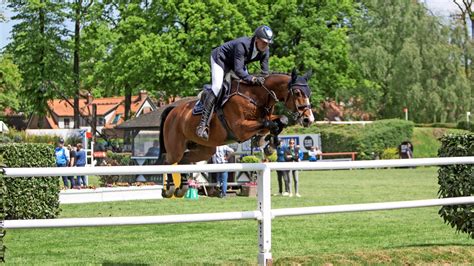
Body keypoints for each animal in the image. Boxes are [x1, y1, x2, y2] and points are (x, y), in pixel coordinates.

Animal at [158, 68, 314, 197]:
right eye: (297, 93)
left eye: (309, 93)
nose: (309, 119)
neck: (255, 96)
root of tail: (172, 110)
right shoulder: (241, 129)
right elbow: (271, 123)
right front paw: (267, 143)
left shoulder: (264, 119)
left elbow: (281, 120)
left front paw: (269, 145)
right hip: (176, 147)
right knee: (168, 162)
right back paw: (169, 189)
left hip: (204, 150)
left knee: (183, 161)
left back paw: (182, 188)